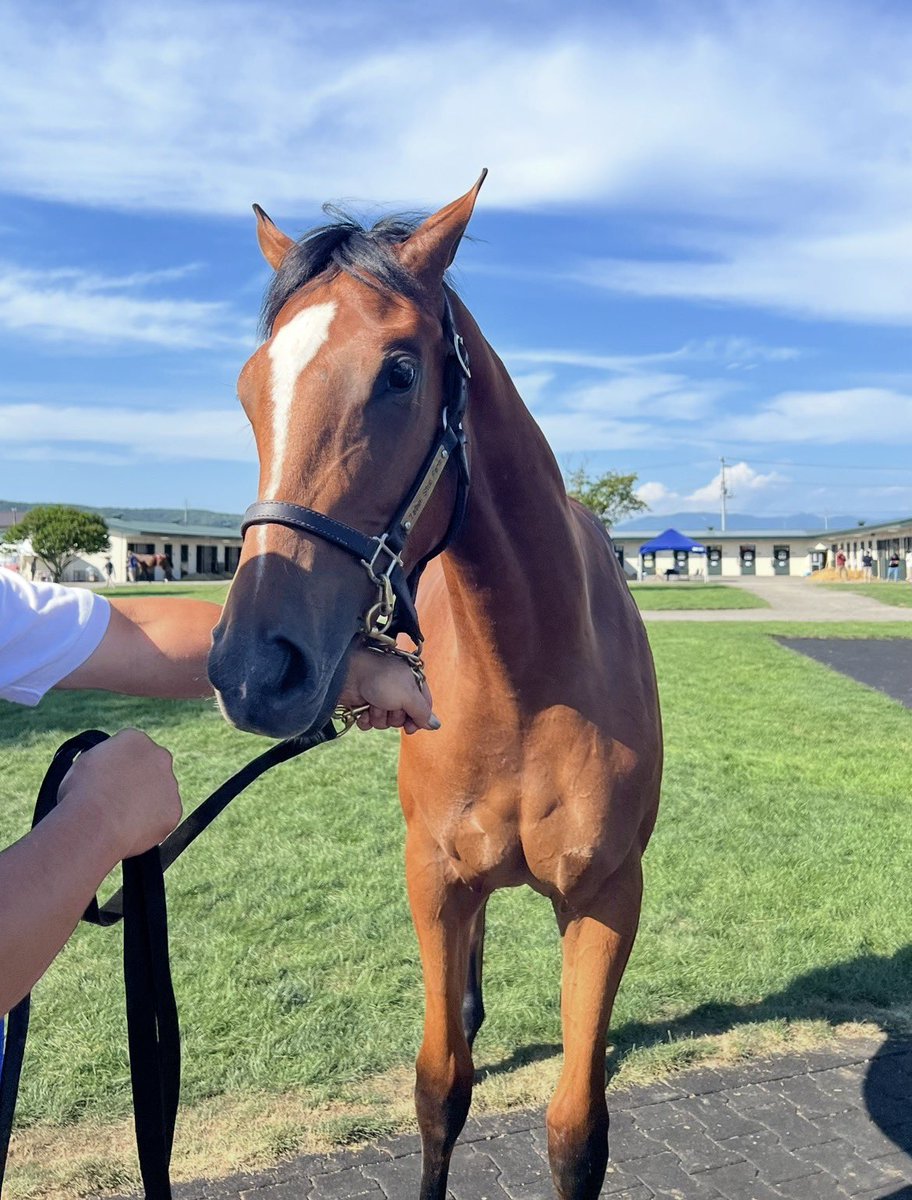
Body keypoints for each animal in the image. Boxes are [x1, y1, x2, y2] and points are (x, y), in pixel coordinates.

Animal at [208, 175, 662, 1200]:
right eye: (252, 387)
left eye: (400, 374)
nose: (253, 668)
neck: (530, 685)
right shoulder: (435, 882)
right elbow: (439, 1088)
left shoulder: (607, 898)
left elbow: (577, 1130)